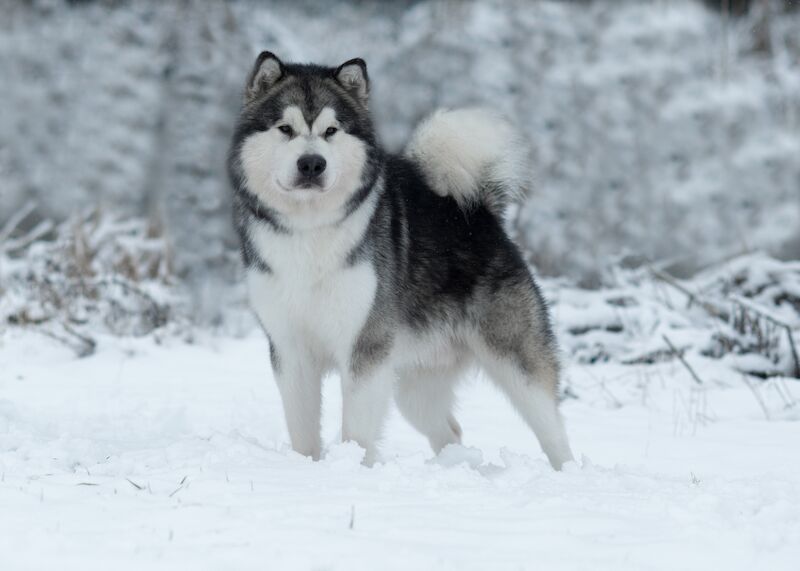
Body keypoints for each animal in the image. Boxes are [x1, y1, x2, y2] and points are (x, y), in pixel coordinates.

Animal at [227, 51, 576, 470]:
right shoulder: (290, 348)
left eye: (331, 130)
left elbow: (357, 430)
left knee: (554, 430)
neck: (309, 231)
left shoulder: (365, 346)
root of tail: (477, 212)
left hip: (517, 362)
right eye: (285, 128)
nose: (311, 163)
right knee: (450, 430)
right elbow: (302, 430)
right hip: (414, 383)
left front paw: (352, 469)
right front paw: (307, 467)